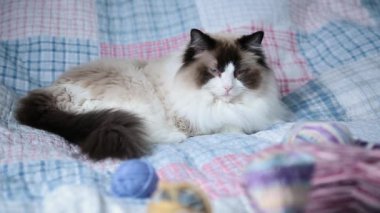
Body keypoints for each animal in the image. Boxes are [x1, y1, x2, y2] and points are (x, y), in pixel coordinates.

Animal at [16, 29, 286, 161]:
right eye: (215, 71)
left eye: (238, 73)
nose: (228, 87)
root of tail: (50, 92)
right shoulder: (198, 122)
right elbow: (234, 128)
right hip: (135, 103)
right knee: (147, 131)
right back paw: (175, 138)